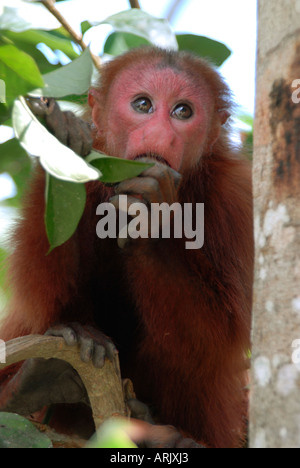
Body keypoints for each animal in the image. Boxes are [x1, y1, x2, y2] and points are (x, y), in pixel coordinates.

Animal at [0, 48, 253, 450]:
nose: (160, 134)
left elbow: (214, 339)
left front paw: (152, 215)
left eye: (183, 111)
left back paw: (167, 437)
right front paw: (63, 143)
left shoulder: (237, 200)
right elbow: (48, 304)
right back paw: (31, 387)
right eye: (143, 105)